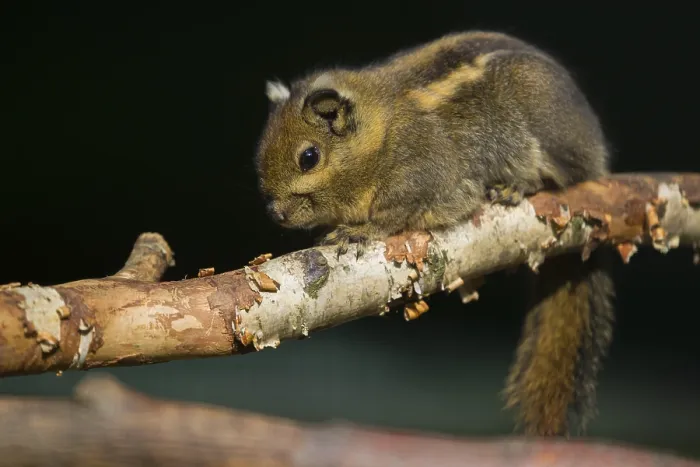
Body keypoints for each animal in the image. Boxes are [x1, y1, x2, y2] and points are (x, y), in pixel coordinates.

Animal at [254, 30, 616, 437]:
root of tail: (595, 154)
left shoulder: (423, 174)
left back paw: (518, 187)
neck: (379, 134)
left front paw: (358, 231)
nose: (275, 213)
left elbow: (395, 215)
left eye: (309, 157)